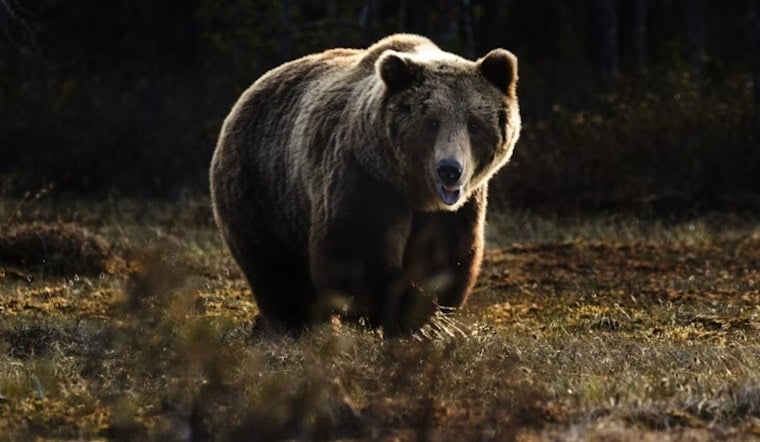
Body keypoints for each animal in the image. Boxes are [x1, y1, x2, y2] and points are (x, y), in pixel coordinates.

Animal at [210, 34, 520, 333]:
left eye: (474, 124)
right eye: (431, 122)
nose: (449, 170)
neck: (413, 190)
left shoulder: (456, 209)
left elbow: (444, 256)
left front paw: (429, 315)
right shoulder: (364, 176)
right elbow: (355, 250)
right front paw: (410, 316)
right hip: (262, 187)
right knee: (276, 267)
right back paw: (295, 324)